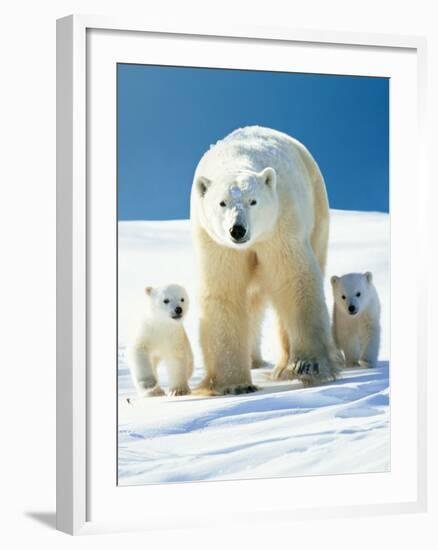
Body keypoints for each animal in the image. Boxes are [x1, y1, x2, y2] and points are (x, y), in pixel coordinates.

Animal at [190, 126, 340, 396]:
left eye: (253, 201)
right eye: (222, 202)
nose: (237, 230)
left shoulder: (280, 224)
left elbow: (294, 279)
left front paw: (308, 365)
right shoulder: (215, 242)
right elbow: (224, 291)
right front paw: (234, 384)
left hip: (318, 211)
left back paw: (283, 367)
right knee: (252, 301)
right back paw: (254, 360)